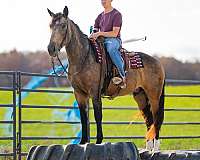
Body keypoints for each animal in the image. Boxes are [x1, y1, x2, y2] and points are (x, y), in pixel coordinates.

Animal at [47, 5, 166, 151]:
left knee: (157, 118)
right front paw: (83, 142)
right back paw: (148, 149)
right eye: (50, 25)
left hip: (154, 95)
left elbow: (98, 116)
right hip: (140, 96)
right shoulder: (79, 94)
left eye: (63, 25)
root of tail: (157, 62)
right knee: (149, 120)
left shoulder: (95, 92)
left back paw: (155, 148)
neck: (84, 57)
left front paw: (99, 141)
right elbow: (83, 117)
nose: (51, 49)